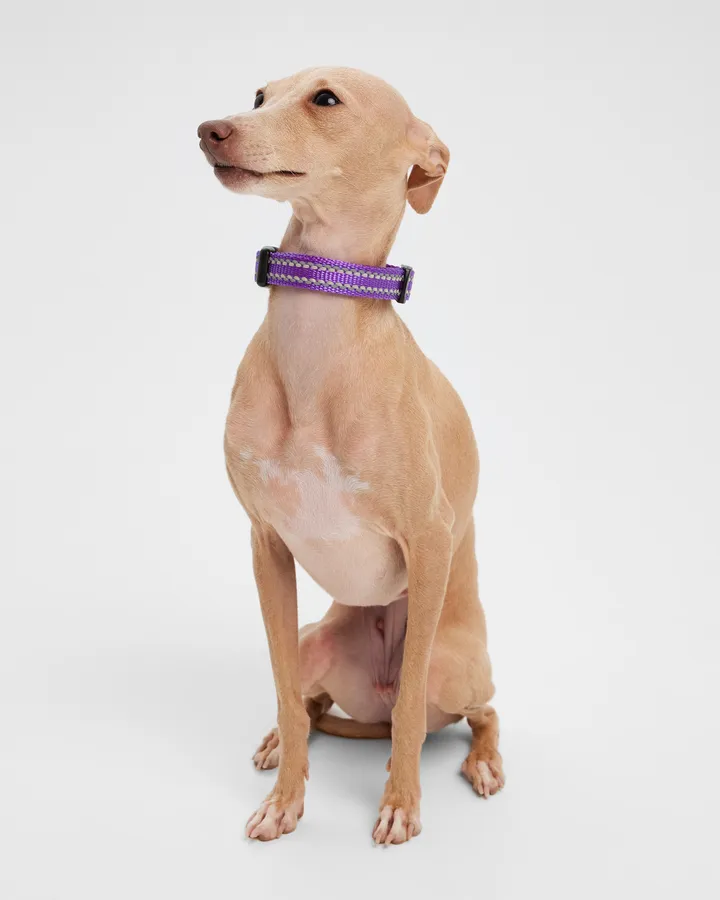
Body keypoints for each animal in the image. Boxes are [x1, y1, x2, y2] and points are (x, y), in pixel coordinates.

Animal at [198, 67, 504, 844]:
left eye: (326, 99)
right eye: (259, 96)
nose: (210, 130)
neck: (317, 335)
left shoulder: (428, 542)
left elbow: (408, 720)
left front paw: (400, 803)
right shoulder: (267, 545)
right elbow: (282, 692)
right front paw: (287, 799)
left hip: (455, 663)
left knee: (460, 713)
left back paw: (480, 760)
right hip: (317, 640)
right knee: (314, 705)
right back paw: (281, 742)